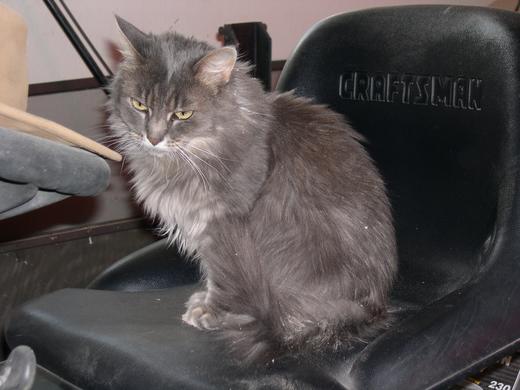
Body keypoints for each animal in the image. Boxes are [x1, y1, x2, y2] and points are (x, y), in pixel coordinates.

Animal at [107, 16, 396, 364]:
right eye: (139, 105)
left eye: (182, 114)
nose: (153, 138)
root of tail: (369, 311)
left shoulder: (222, 223)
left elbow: (221, 277)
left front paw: (210, 312)